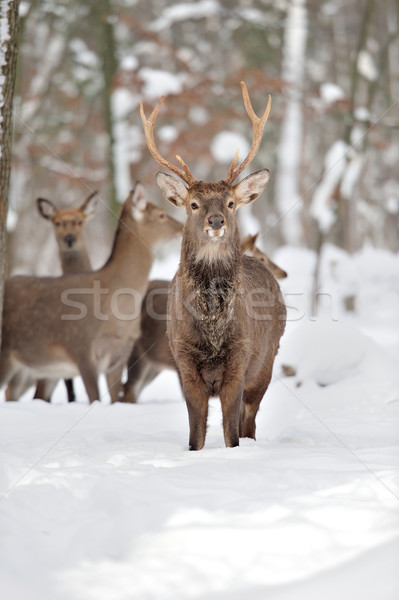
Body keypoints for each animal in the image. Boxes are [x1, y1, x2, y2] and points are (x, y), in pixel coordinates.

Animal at [0, 184, 183, 404]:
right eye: (161, 215)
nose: (183, 228)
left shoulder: (119, 355)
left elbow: (114, 400)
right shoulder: (81, 346)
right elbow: (95, 398)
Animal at [141, 81, 288, 450]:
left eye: (231, 202)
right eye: (193, 204)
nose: (217, 220)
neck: (211, 331)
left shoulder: (240, 357)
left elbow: (231, 433)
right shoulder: (183, 360)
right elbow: (196, 435)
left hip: (267, 360)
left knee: (250, 422)